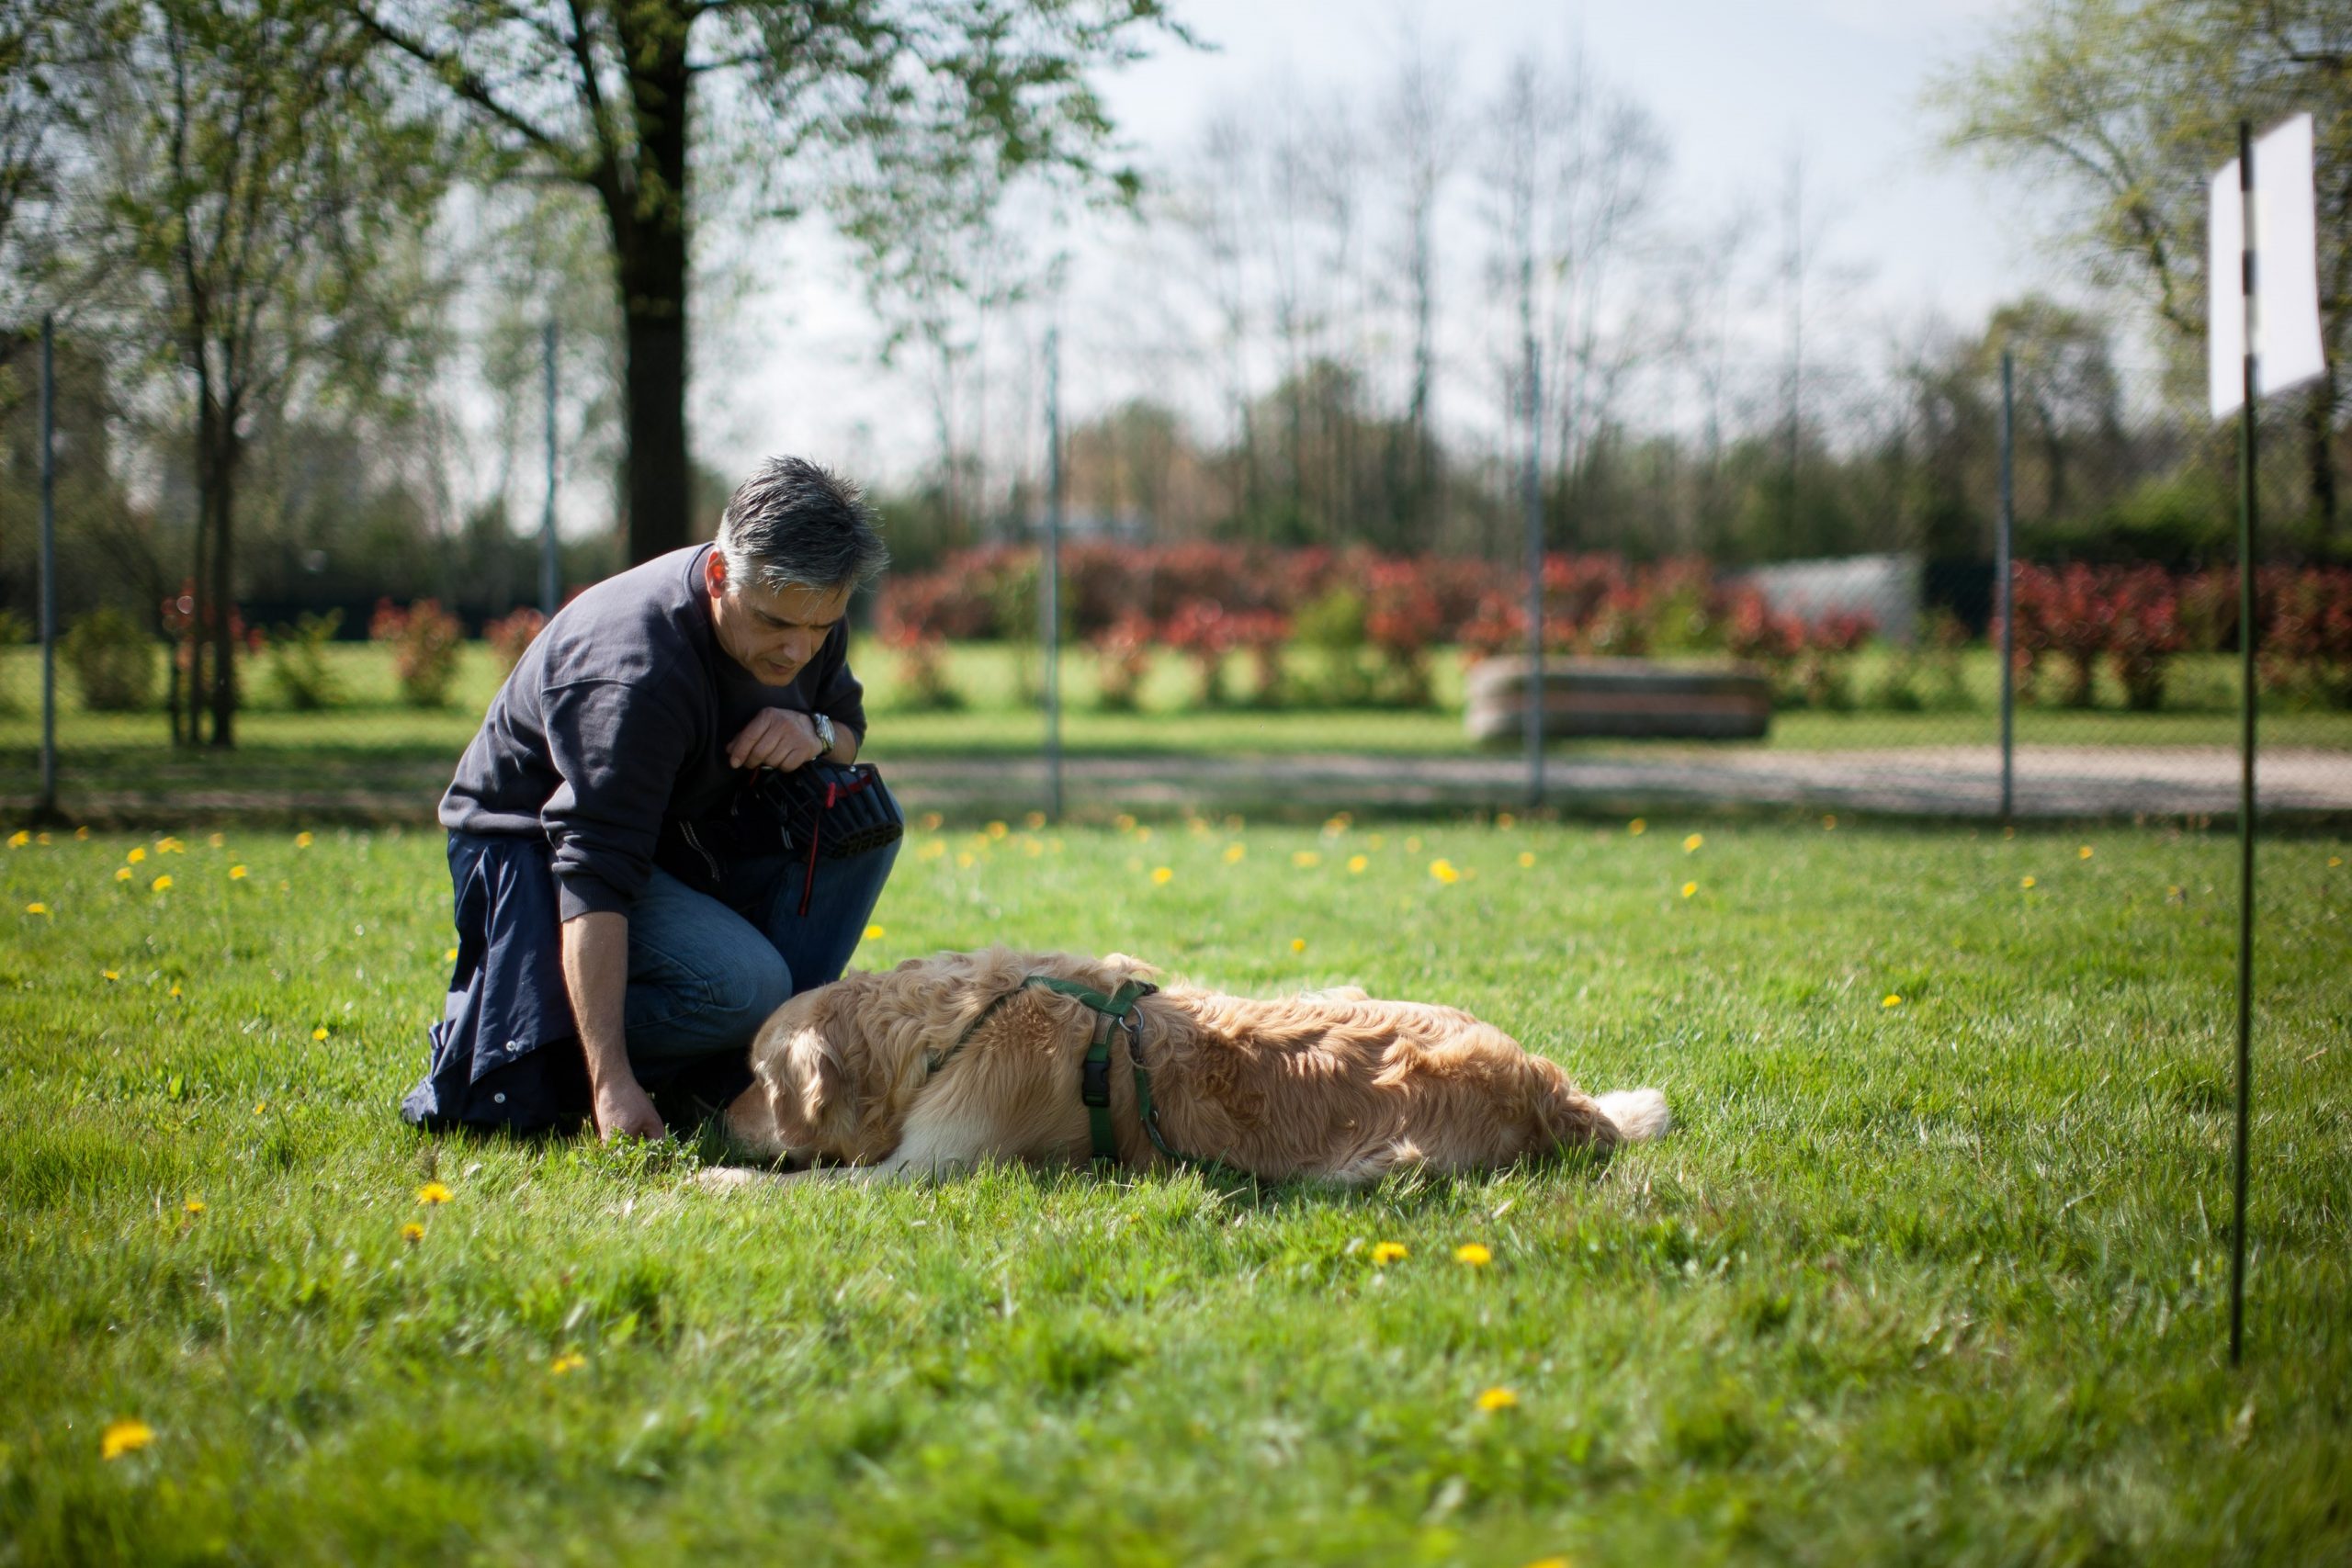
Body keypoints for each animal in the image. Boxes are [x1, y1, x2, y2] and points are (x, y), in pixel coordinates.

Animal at [719, 944, 1674, 1189]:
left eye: (757, 1079)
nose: (710, 1115)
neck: (951, 1033)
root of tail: (1551, 1088)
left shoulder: (923, 1170)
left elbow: (791, 1187)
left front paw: (705, 1181)